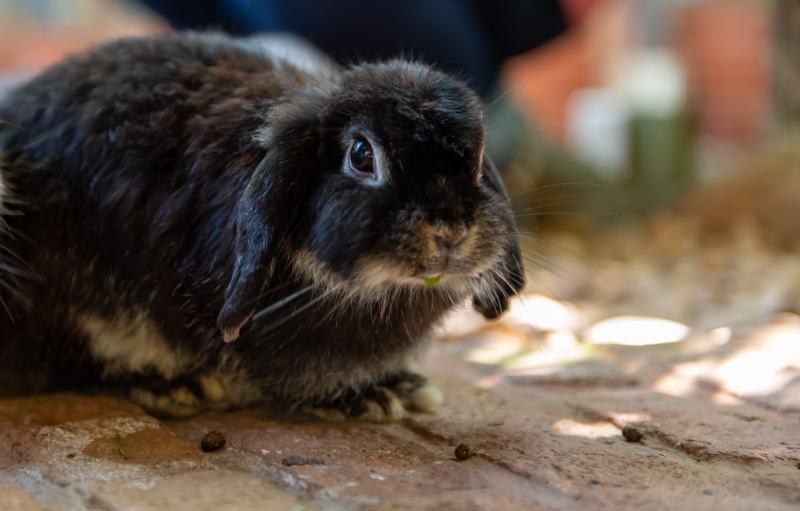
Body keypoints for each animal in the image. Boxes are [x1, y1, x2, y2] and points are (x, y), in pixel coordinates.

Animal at [0, 32, 525, 419]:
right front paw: (367, 399)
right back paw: (177, 387)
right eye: (361, 155)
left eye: (477, 159)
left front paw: (399, 386)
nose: (451, 230)